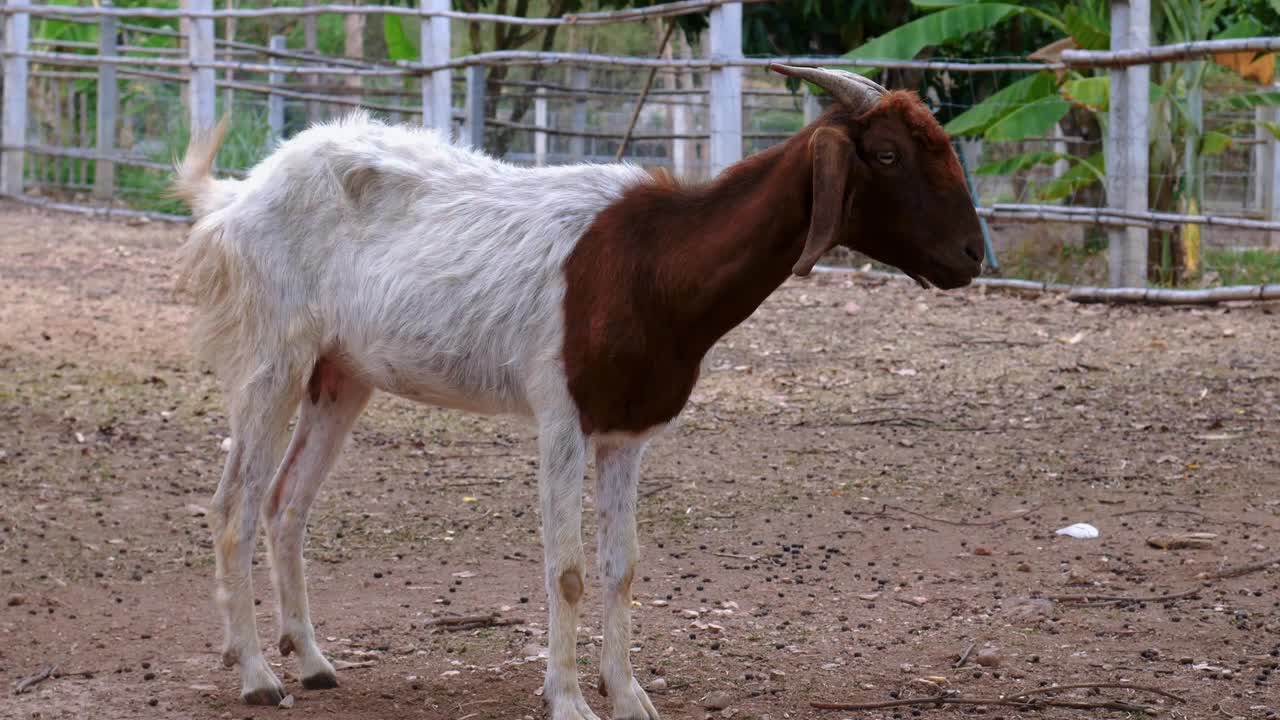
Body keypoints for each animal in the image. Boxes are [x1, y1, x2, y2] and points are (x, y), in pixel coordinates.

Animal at [172, 65, 977, 717]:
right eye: (886, 154)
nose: (973, 255)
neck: (655, 263)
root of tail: (240, 195)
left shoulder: (628, 432)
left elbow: (622, 568)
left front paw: (629, 695)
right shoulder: (560, 417)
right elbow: (566, 570)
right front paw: (566, 700)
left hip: (340, 376)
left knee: (287, 502)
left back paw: (310, 661)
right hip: (272, 358)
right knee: (232, 505)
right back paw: (255, 675)